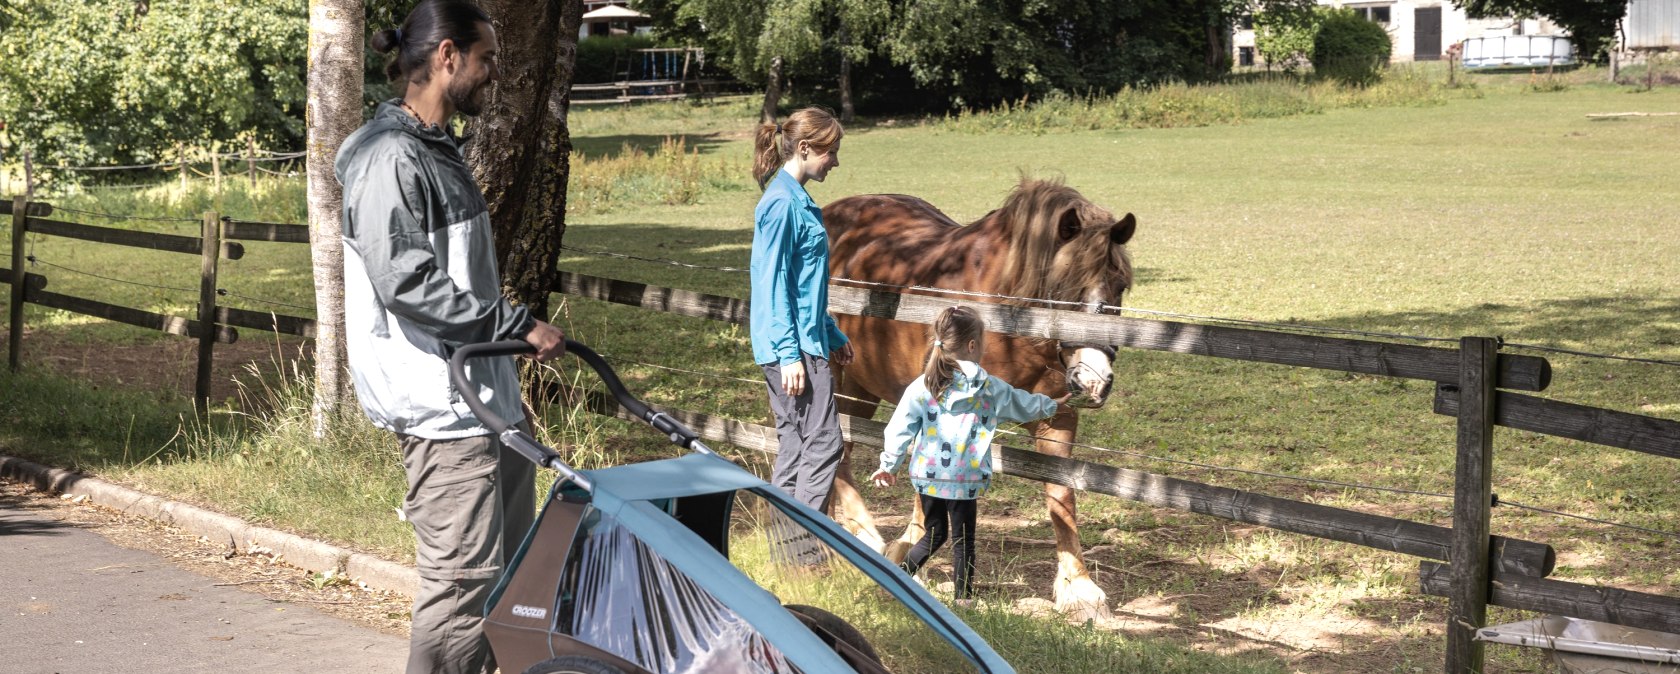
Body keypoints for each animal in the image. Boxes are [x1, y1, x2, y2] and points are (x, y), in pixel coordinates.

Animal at [819, 177, 1135, 618]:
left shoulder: (1056, 418)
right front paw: (908, 555)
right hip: (830, 370)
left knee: (845, 446)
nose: (1093, 380)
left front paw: (1080, 590)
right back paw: (861, 536)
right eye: (1065, 290)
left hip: (861, 383)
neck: (1006, 310)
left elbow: (1061, 496)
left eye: (1119, 287)